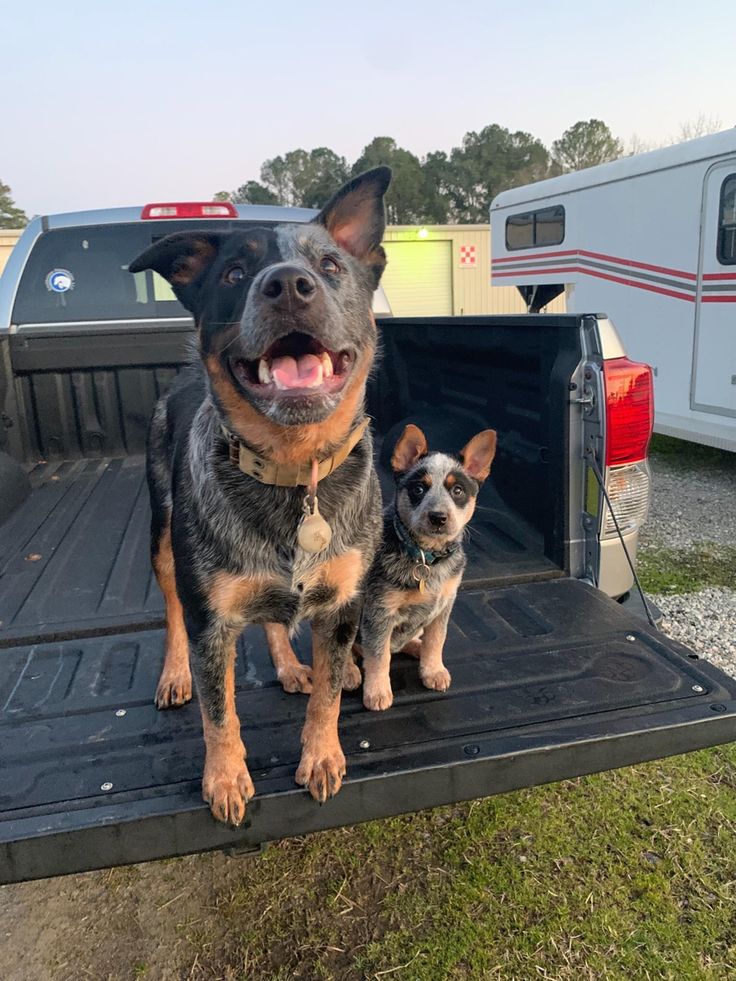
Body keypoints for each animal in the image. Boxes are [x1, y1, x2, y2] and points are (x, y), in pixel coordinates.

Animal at [128, 170, 392, 828]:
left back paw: (289, 665)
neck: (294, 475)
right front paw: (224, 778)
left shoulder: (342, 606)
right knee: (172, 610)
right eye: (232, 273)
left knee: (275, 620)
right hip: (161, 534)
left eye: (329, 265)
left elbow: (329, 693)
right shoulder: (212, 618)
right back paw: (174, 674)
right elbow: (218, 710)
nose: (288, 284)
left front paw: (321, 756)